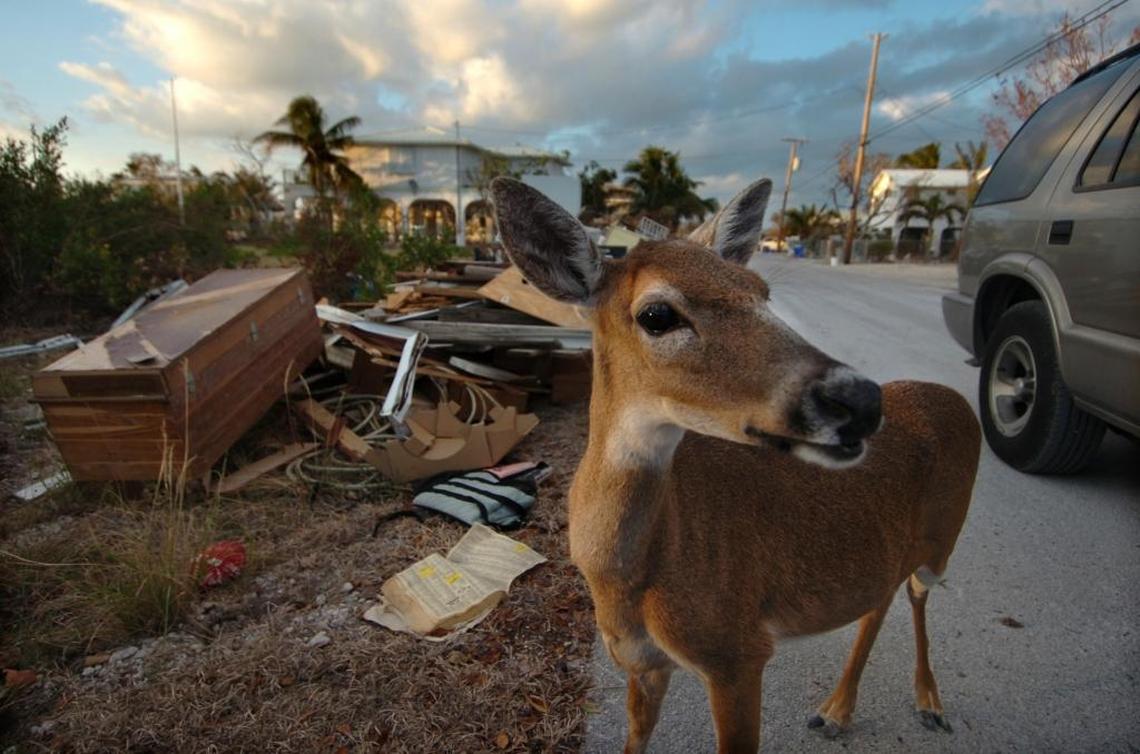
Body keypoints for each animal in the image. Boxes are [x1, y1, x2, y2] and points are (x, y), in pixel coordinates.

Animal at [490, 176, 982, 754]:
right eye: (657, 314)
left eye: (761, 291)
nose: (860, 401)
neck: (629, 573)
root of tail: (958, 398)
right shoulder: (641, 661)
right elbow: (636, 737)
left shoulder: (736, 651)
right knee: (881, 593)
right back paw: (837, 710)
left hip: (944, 540)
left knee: (915, 591)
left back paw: (928, 703)